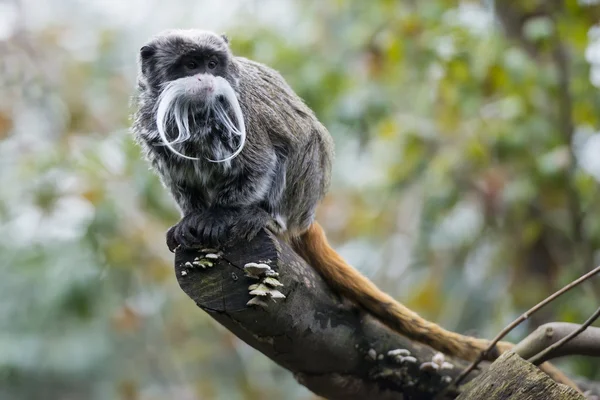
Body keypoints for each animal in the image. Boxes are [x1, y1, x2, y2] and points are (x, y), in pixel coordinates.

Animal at [132, 29, 576, 390]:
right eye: (190, 66)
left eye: (212, 64)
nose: (206, 78)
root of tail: (306, 217)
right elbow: (181, 179)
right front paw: (191, 220)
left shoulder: (243, 119)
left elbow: (259, 161)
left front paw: (229, 215)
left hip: (301, 195)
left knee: (301, 143)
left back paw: (264, 218)